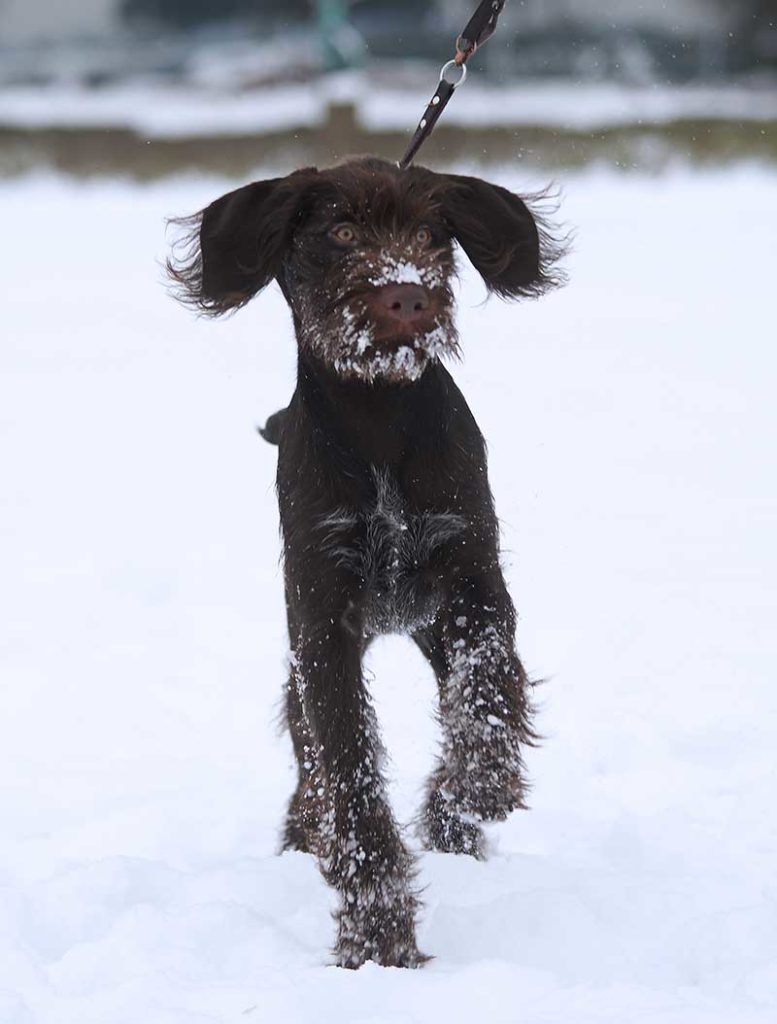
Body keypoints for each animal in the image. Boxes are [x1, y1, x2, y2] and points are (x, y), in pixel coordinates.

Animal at [166, 157, 560, 966]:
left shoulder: (471, 579)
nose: (406, 293)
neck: (377, 416)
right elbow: (345, 771)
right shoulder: (323, 626)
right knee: (311, 772)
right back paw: (305, 836)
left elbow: (488, 688)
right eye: (342, 233)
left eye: (430, 234)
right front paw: (376, 936)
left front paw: (473, 790)